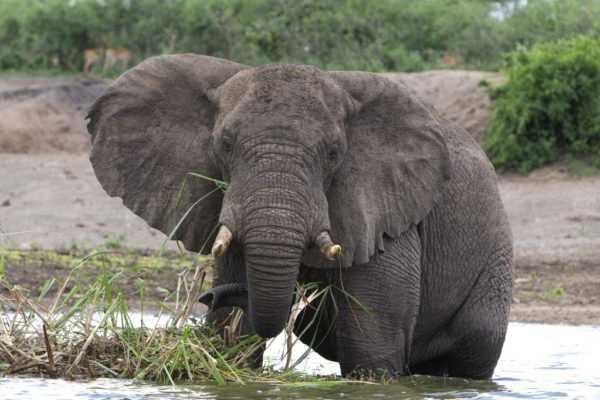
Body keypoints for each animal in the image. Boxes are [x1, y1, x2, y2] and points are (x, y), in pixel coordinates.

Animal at [86, 54, 512, 382]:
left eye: (333, 153)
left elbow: (371, 350)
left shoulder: (386, 218)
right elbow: (235, 341)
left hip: (495, 258)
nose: (207, 295)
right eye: (225, 145)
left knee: (472, 351)